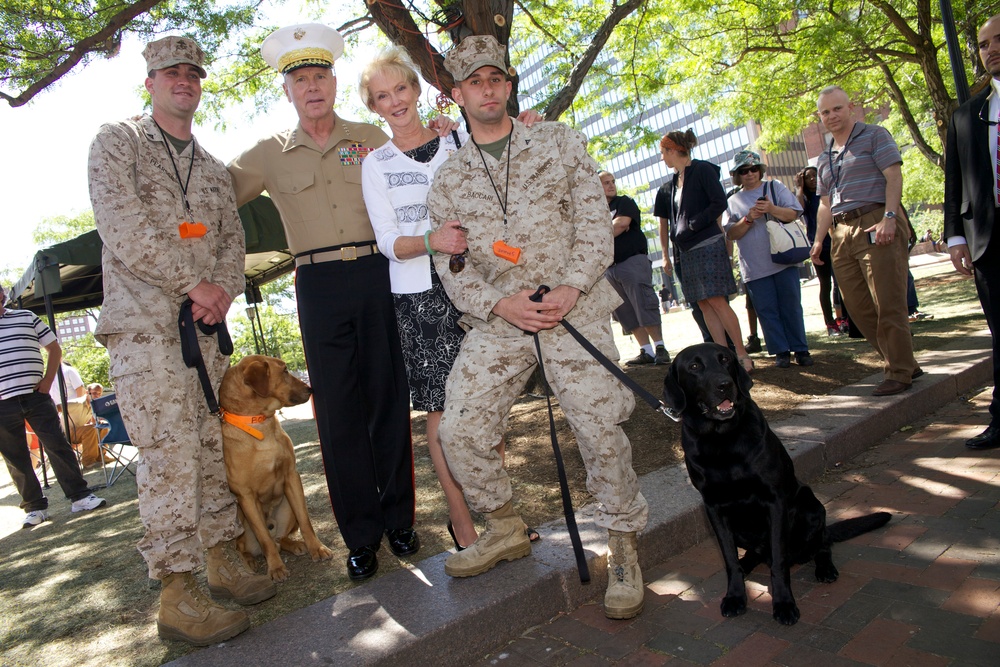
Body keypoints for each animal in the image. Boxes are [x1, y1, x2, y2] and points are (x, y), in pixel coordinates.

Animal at [219, 358, 332, 580]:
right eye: (285, 371)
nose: (310, 388)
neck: (259, 423)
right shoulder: (245, 496)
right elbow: (264, 539)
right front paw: (276, 567)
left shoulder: (291, 477)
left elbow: (306, 521)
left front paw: (317, 548)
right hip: (240, 522)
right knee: (251, 545)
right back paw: (249, 561)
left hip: (287, 508)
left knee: (280, 539)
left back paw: (295, 545)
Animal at [664, 344, 892, 628]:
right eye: (694, 367)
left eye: (725, 359)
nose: (725, 385)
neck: (722, 439)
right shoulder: (714, 508)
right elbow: (729, 559)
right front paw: (735, 596)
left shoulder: (775, 502)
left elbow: (780, 562)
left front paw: (784, 604)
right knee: (753, 554)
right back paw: (747, 564)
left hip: (811, 507)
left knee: (822, 544)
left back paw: (825, 568)